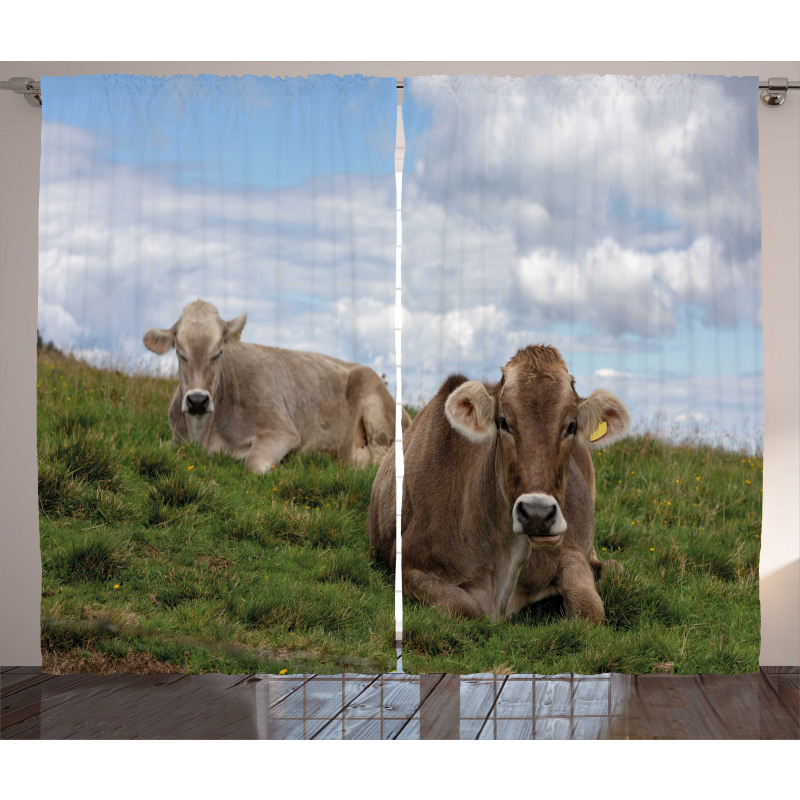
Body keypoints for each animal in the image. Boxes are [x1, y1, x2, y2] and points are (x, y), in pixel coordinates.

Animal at [142, 302, 406, 476]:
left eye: (218, 352)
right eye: (179, 352)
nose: (197, 401)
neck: (203, 435)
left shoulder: (281, 430)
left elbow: (253, 464)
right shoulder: (175, 439)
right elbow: (158, 446)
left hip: (373, 397)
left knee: (379, 460)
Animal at [368, 346, 632, 620]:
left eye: (571, 426)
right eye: (503, 422)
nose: (537, 514)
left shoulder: (569, 549)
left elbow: (591, 611)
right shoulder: (407, 561)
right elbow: (464, 607)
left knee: (614, 567)